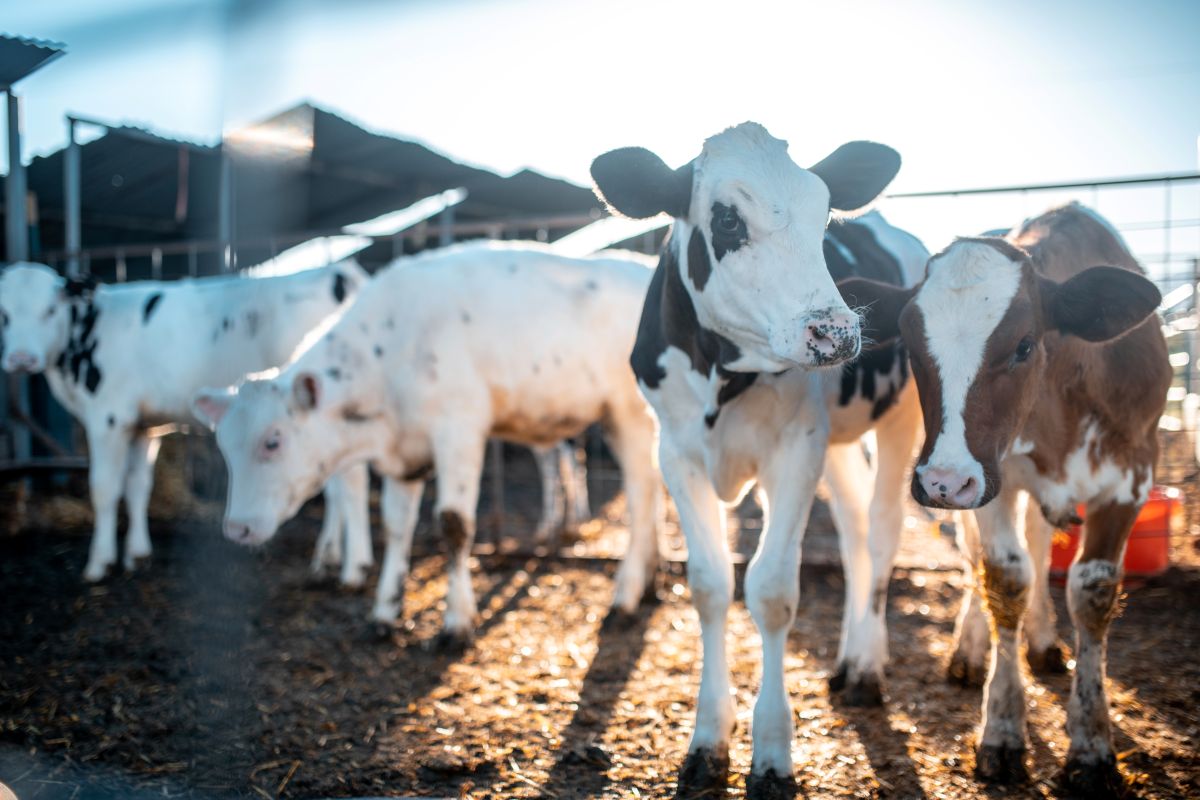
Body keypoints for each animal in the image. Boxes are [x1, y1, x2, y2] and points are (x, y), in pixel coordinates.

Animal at [0, 261, 372, 585]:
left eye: (49, 310)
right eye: (3, 315)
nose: (21, 359)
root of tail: (340, 272)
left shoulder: (108, 418)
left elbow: (104, 488)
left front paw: (99, 563)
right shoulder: (143, 425)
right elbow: (138, 486)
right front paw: (137, 554)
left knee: (347, 482)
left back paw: (343, 563)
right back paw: (332, 556)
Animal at [191, 241, 662, 648]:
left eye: (273, 441)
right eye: (225, 445)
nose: (236, 528)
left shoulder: (459, 430)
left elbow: (454, 524)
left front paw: (456, 623)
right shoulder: (404, 454)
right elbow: (397, 526)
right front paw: (383, 614)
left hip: (629, 413)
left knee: (641, 496)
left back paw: (626, 596)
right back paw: (652, 583)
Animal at [591, 122, 920, 796]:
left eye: (825, 213)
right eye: (726, 220)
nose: (835, 332)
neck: (723, 369)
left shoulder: (796, 450)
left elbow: (770, 590)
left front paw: (772, 752)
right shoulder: (677, 452)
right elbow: (711, 585)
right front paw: (708, 740)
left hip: (902, 417)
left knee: (881, 531)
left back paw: (867, 666)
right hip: (839, 441)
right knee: (853, 531)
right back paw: (847, 660)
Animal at [838, 202, 1170, 794]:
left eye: (1024, 345)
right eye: (911, 346)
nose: (943, 482)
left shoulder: (1131, 477)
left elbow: (1092, 592)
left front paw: (1091, 747)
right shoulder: (992, 479)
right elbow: (1007, 578)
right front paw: (1003, 733)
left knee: (1039, 543)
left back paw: (1043, 643)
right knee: (988, 558)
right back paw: (972, 652)